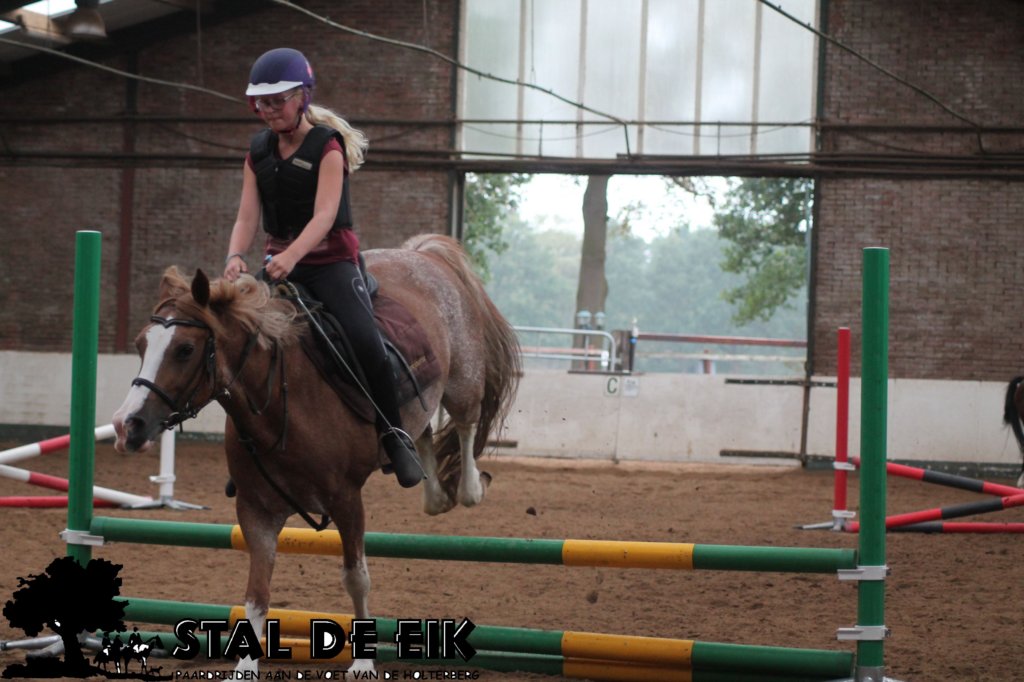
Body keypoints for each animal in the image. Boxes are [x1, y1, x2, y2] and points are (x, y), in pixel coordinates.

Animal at [111, 234, 521, 675]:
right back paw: (433, 493)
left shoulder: (346, 500)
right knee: (424, 431)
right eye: (140, 344)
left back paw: (471, 487)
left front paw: (362, 664)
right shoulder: (256, 510)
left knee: (465, 425)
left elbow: (356, 577)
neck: (280, 403)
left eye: (185, 349)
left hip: (462, 380)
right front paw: (244, 670)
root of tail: (423, 254)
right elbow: (256, 595)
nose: (126, 424)